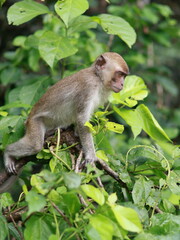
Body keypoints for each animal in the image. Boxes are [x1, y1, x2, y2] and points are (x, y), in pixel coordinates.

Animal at [1, 53, 128, 191]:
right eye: (119, 74)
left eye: (124, 76)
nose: (122, 84)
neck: (97, 77)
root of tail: (27, 121)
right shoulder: (88, 87)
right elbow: (82, 119)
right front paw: (91, 155)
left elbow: (81, 122)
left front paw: (77, 136)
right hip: (34, 123)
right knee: (35, 145)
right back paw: (8, 153)